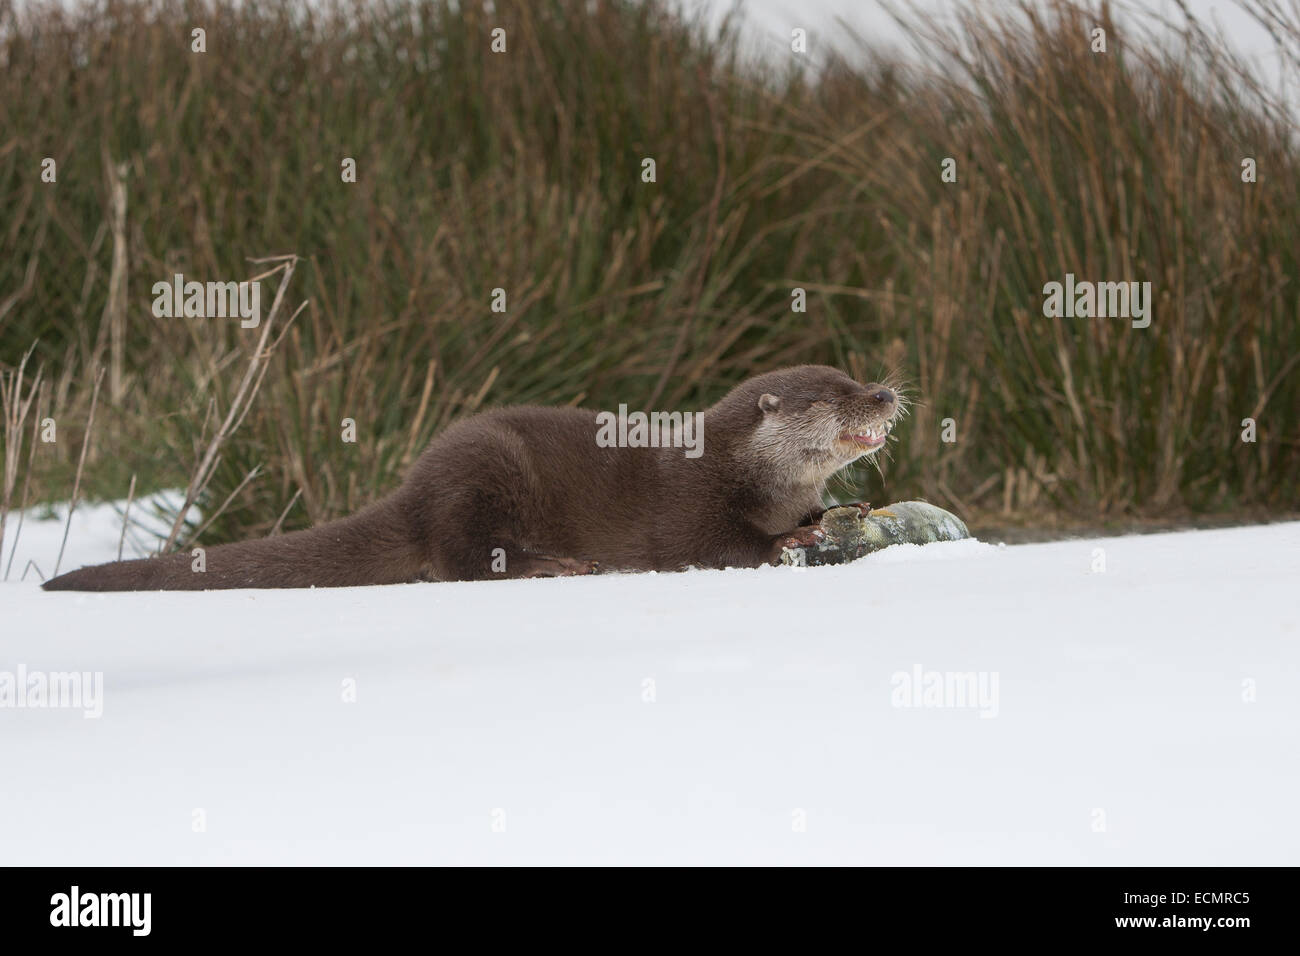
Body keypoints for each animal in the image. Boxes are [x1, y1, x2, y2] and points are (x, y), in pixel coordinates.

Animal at [41, 366, 900, 591]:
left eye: (857, 373)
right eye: (835, 391)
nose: (889, 393)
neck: (748, 473)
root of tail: (414, 488)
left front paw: (840, 510)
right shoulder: (691, 504)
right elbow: (716, 548)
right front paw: (792, 541)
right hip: (488, 471)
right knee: (462, 558)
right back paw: (556, 564)